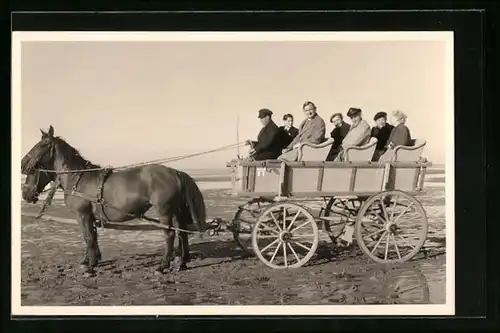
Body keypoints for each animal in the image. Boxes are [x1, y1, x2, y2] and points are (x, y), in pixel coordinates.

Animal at [21, 124, 205, 274]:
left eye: (41, 145)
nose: (23, 165)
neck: (78, 178)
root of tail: (175, 172)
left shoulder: (82, 215)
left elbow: (88, 238)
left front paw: (90, 267)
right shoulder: (90, 217)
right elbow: (91, 237)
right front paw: (91, 260)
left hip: (164, 211)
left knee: (170, 235)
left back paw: (162, 266)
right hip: (177, 210)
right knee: (182, 232)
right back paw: (182, 262)